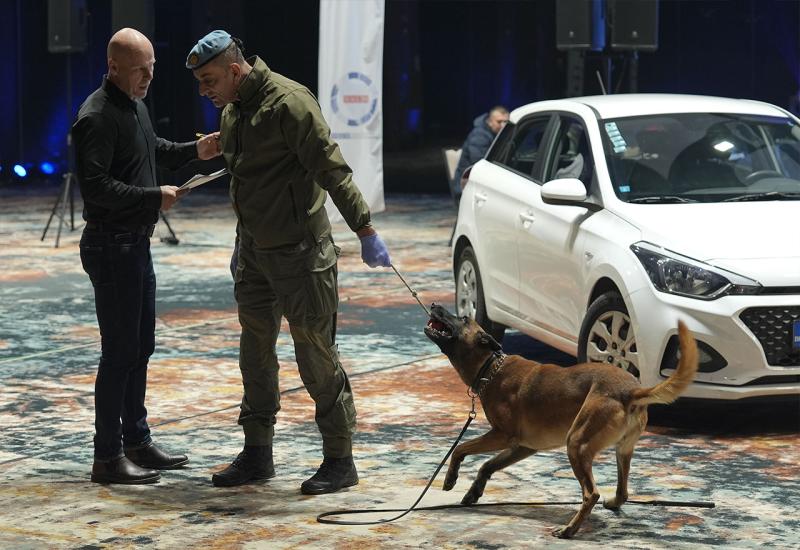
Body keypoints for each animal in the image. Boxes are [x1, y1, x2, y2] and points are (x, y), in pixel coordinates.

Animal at [422, 304, 696, 540]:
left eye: (463, 318)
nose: (434, 304)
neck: (491, 366)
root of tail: (632, 391)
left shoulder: (501, 435)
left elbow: (460, 448)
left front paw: (450, 478)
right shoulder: (523, 447)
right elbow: (487, 466)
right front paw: (473, 491)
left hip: (576, 443)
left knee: (591, 494)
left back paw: (569, 530)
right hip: (622, 451)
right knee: (623, 492)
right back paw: (610, 505)